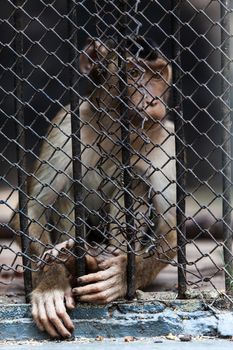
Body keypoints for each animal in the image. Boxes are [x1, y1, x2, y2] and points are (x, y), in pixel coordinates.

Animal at [10, 37, 175, 340]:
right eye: (134, 74)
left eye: (157, 76)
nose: (153, 100)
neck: (116, 127)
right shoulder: (66, 124)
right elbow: (32, 209)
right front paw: (52, 283)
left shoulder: (167, 140)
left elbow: (170, 232)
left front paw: (121, 277)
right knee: (67, 191)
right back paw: (75, 259)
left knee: (134, 182)